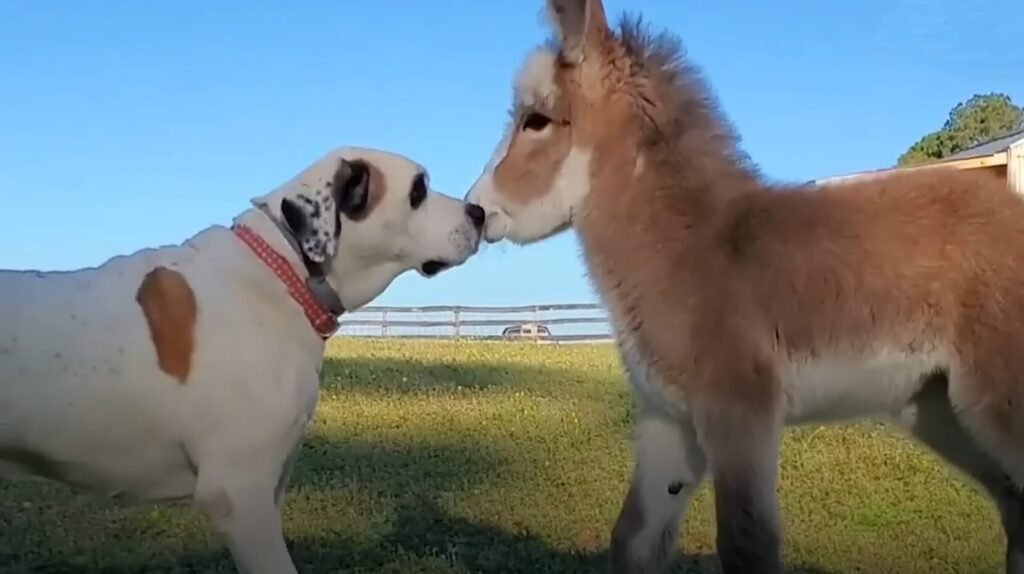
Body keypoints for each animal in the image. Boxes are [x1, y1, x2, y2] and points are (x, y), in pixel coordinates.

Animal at [468, 1, 1024, 572]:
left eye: (536, 120)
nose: (475, 209)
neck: (691, 253)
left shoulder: (739, 413)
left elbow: (746, 541)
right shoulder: (670, 423)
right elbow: (633, 539)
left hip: (998, 395)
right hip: (935, 409)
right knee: (1015, 504)